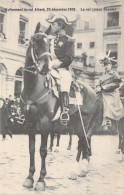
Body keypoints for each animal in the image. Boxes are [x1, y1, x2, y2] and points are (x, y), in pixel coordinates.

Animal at [20, 31, 100, 191]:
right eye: (35, 42)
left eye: (48, 44)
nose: (45, 67)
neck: (34, 89)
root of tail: (92, 90)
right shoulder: (30, 123)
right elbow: (31, 149)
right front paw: (30, 178)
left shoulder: (45, 123)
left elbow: (43, 150)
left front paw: (41, 180)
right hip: (74, 122)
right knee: (83, 142)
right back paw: (81, 169)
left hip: (82, 122)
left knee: (83, 141)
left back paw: (77, 170)